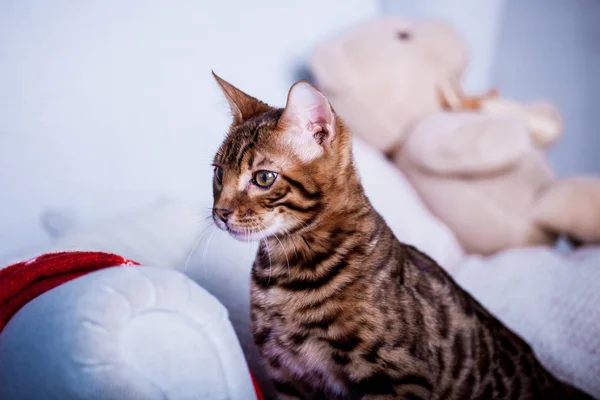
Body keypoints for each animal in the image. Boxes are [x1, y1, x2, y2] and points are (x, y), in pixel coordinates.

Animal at [209, 72, 592, 400]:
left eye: (263, 178)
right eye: (219, 174)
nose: (220, 212)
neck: (288, 275)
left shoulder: (395, 377)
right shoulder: (289, 377)